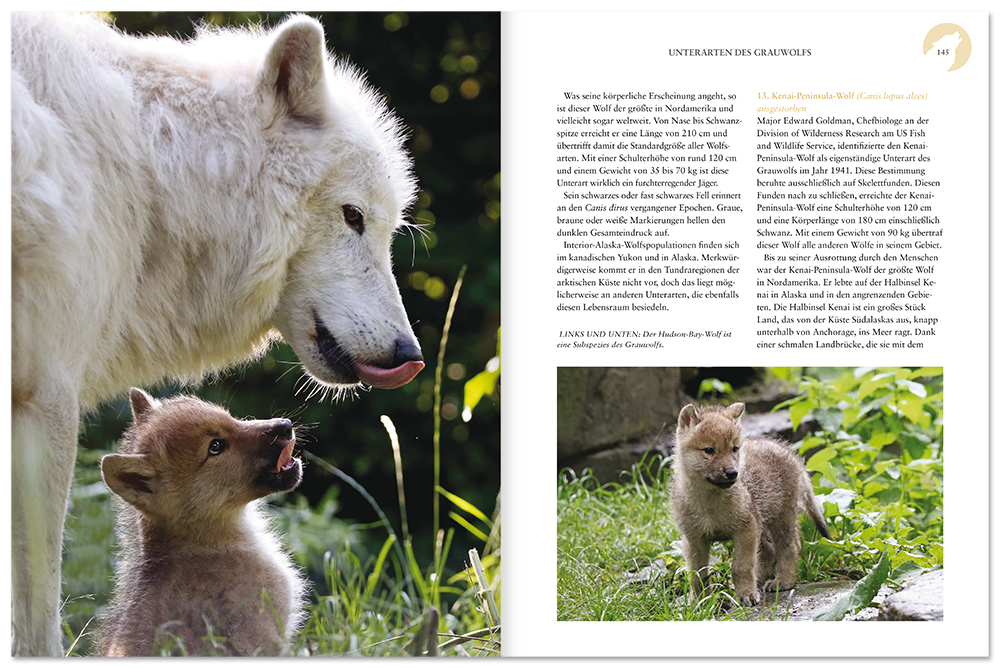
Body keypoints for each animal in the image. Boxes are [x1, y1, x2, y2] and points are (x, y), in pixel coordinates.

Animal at [671, 403, 830, 606]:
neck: (709, 502)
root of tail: (793, 456)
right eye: (709, 450)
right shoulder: (694, 539)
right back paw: (760, 580)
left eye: (734, 449)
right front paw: (699, 603)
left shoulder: (745, 528)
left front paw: (746, 595)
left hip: (781, 517)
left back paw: (782, 581)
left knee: (791, 546)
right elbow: (697, 575)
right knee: (770, 550)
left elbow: (741, 566)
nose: (733, 473)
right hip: (763, 524)